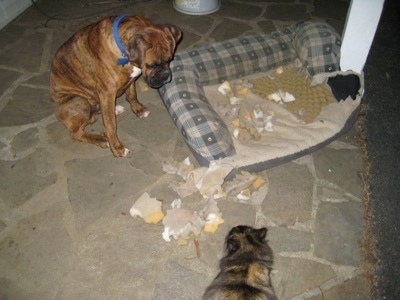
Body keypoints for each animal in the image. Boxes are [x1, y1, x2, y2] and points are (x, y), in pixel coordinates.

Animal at [50, 15, 183, 157]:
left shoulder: (130, 80)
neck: (123, 53)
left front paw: (139, 109)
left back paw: (114, 109)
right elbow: (110, 125)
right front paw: (117, 147)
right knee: (76, 133)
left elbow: (132, 95)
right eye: (152, 65)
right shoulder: (107, 93)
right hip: (80, 101)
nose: (166, 77)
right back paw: (100, 139)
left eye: (169, 60)